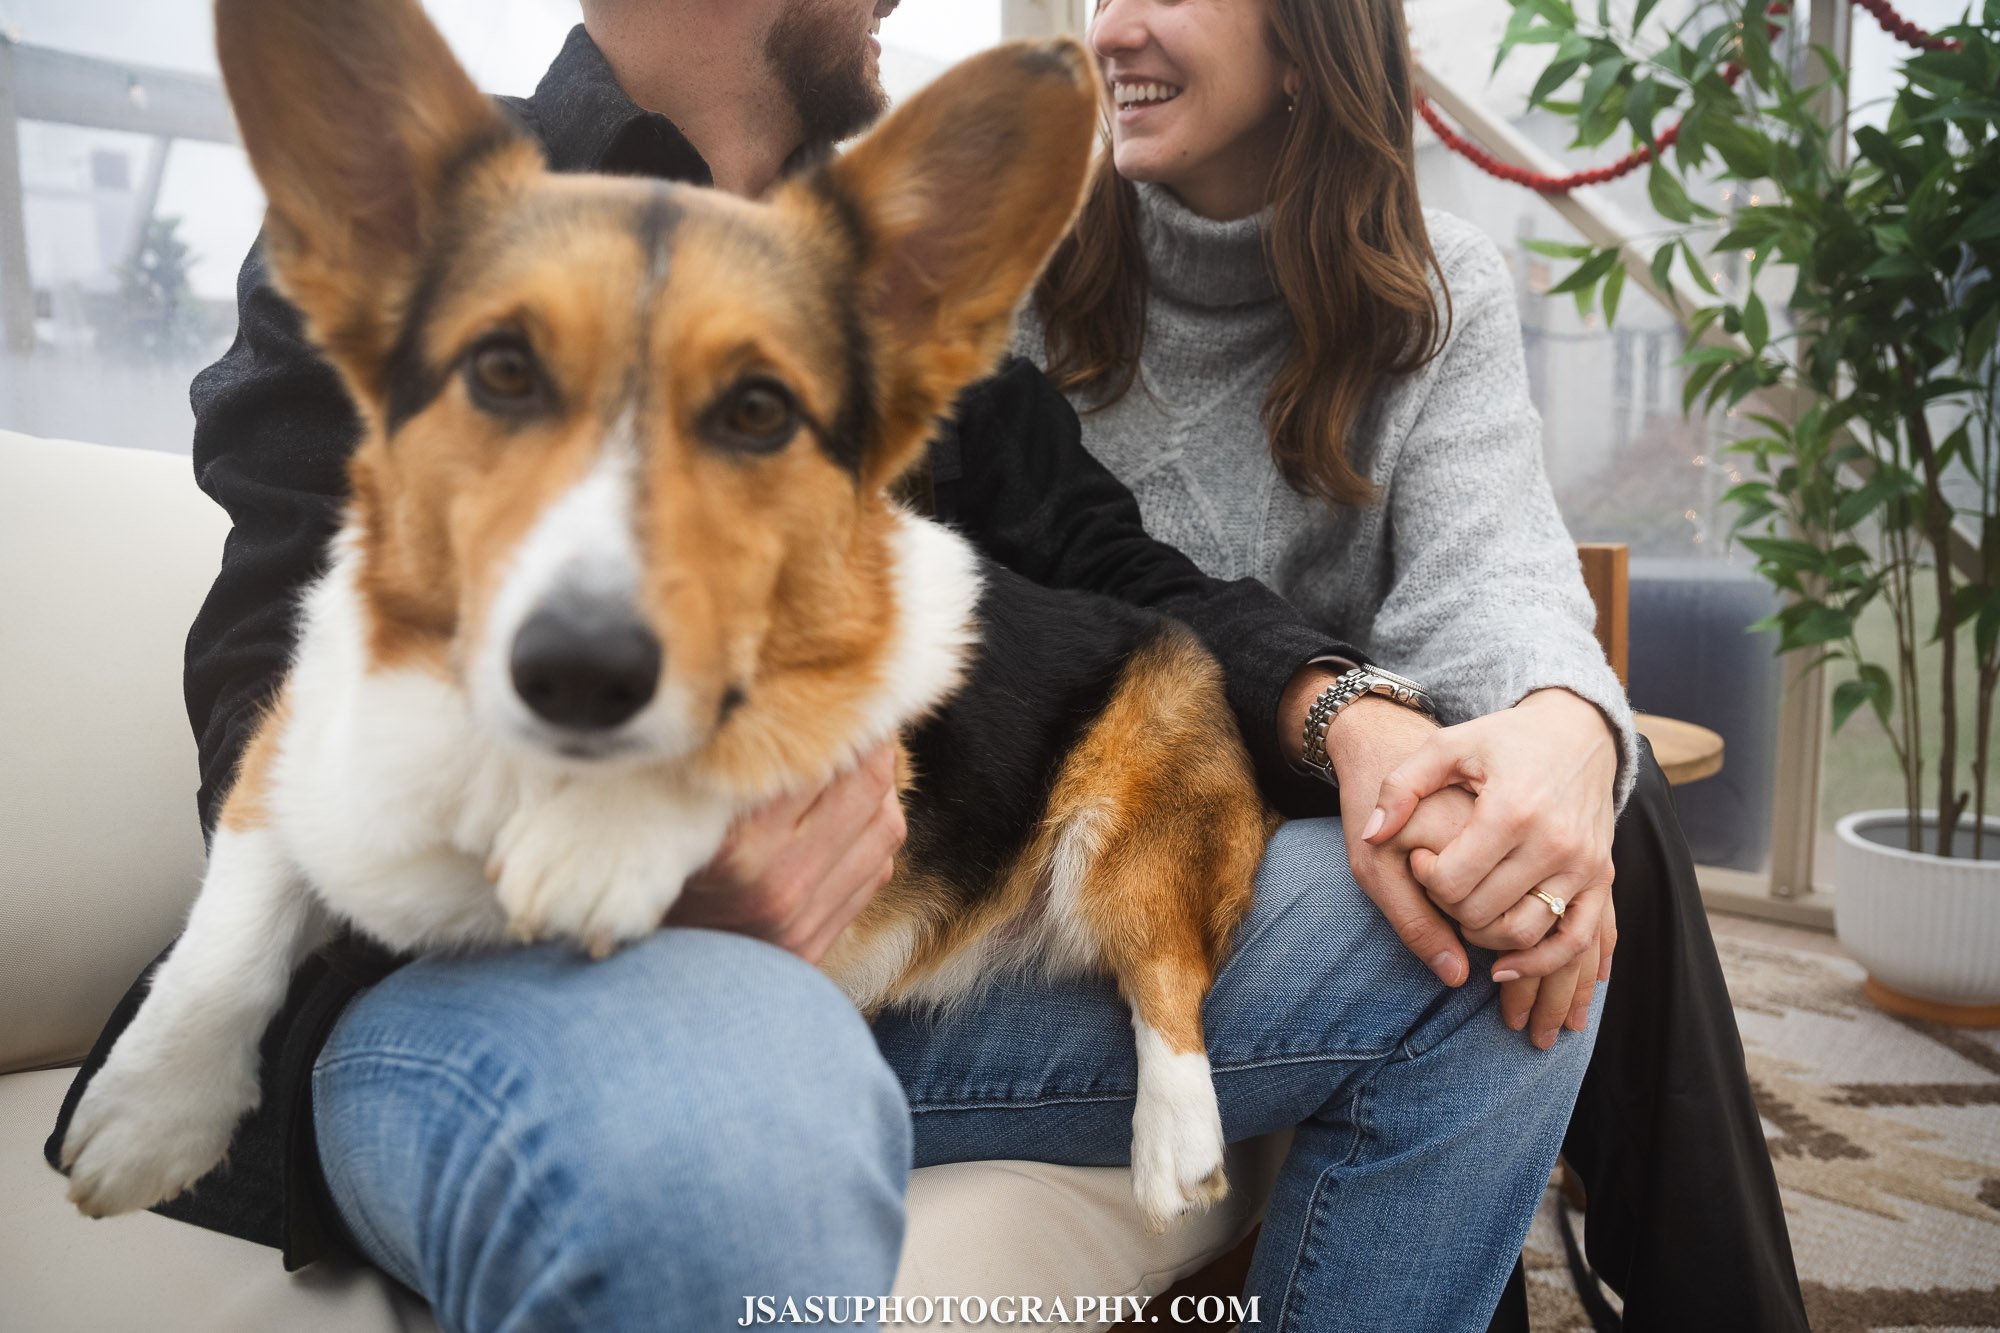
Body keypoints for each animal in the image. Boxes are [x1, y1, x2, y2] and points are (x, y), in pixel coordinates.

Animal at [70, 0, 1272, 1232]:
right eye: (501, 371)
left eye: (760, 412)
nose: (582, 671)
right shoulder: (302, 734)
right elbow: (237, 916)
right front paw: (154, 1109)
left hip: (1134, 841)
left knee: (1167, 981)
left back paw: (1176, 1148)